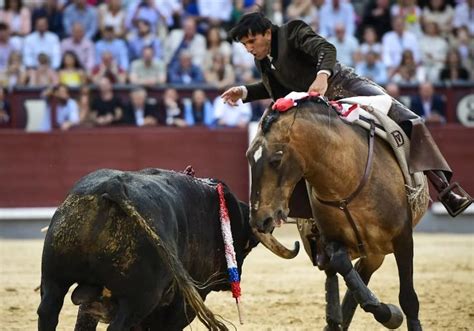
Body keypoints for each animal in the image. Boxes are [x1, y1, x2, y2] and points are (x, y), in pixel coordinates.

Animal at [37, 170, 258, 330]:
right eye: (245, 248)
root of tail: (113, 186)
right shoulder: (182, 304)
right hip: (141, 299)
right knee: (118, 327)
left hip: (53, 279)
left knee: (48, 312)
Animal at [250, 98, 432, 331]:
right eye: (249, 157)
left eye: (276, 160)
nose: (260, 218)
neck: (345, 182)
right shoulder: (333, 240)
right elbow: (340, 263)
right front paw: (386, 311)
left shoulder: (403, 238)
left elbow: (408, 298)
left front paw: (393, 313)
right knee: (340, 275)